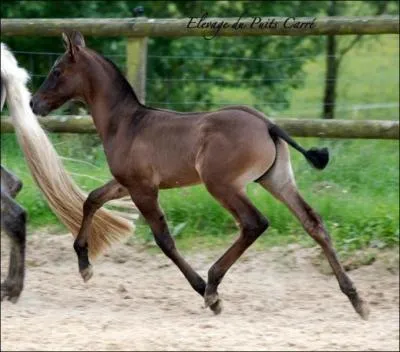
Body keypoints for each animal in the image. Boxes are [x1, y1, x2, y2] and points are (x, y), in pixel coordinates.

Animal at [29, 31, 370, 320]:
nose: (34, 103)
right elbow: (92, 199)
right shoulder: (127, 183)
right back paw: (357, 299)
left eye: (57, 70)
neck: (126, 123)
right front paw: (84, 264)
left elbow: (164, 240)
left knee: (254, 223)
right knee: (313, 223)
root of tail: (267, 124)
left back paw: (212, 286)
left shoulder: (142, 189)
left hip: (221, 185)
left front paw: (204, 292)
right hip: (277, 180)